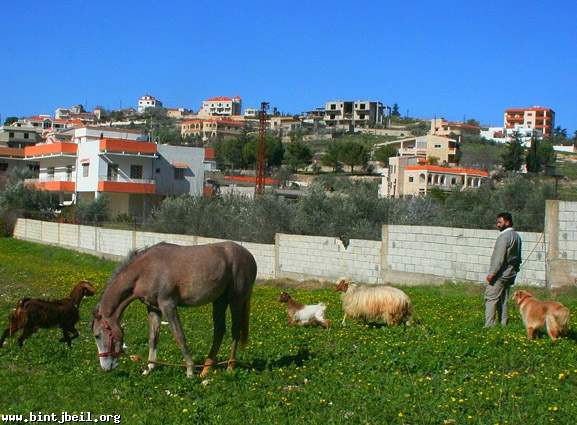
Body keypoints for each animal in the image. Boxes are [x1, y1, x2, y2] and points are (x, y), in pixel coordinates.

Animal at [91, 242, 256, 378]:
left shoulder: (168, 305)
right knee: (219, 331)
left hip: (235, 301)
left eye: (97, 335)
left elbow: (179, 336)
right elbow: (153, 338)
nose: (105, 367)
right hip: (219, 301)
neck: (146, 269)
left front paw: (189, 371)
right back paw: (205, 370)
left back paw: (230, 367)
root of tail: (249, 256)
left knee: (235, 331)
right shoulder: (153, 308)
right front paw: (149, 368)